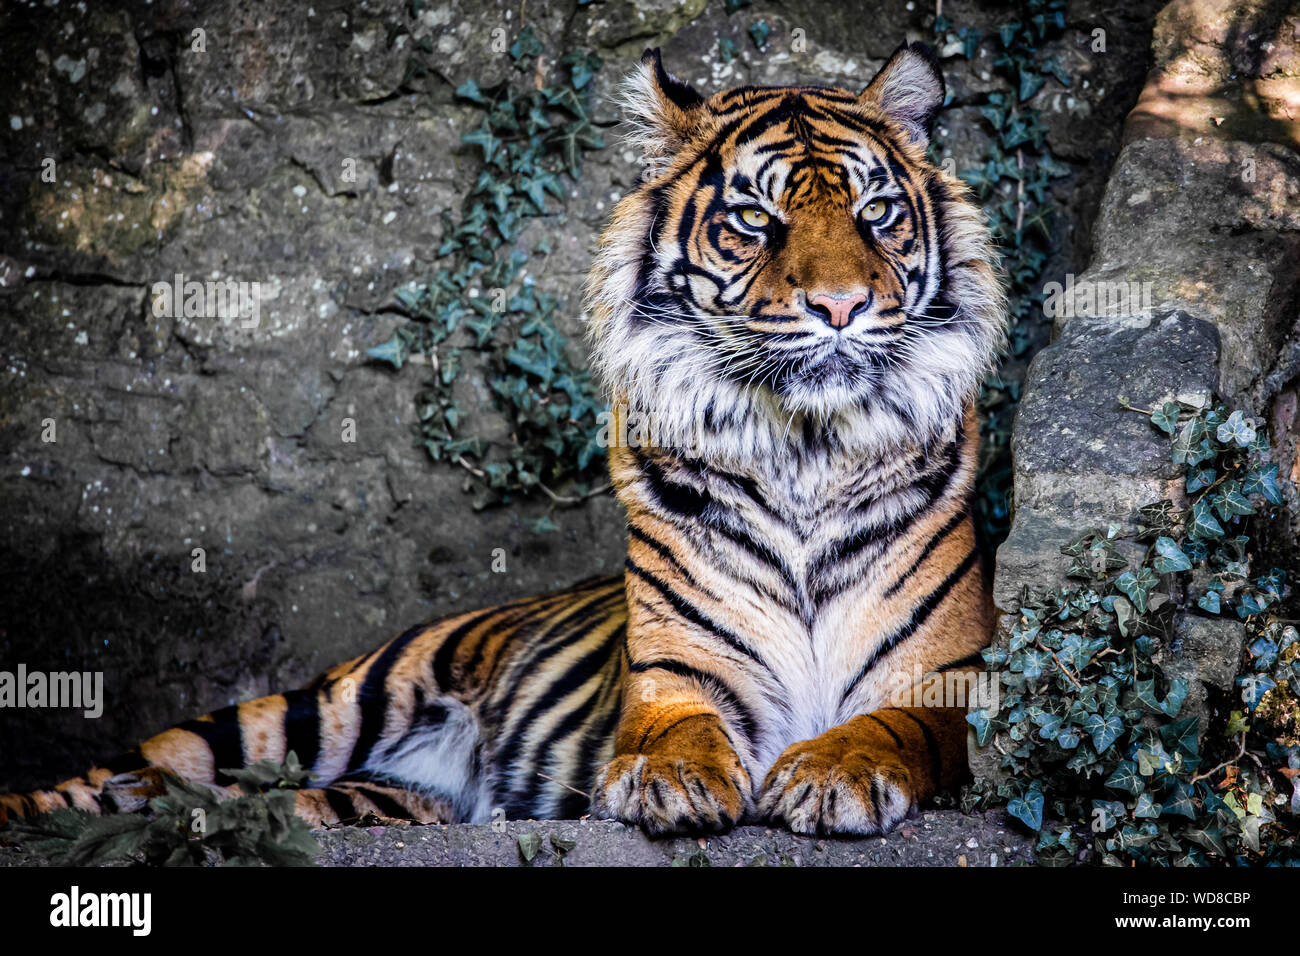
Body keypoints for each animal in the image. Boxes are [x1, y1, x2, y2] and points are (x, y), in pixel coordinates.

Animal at [0, 41, 1005, 839]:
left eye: (876, 213)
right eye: (756, 219)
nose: (841, 306)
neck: (805, 448)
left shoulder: (944, 684)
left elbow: (888, 728)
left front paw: (832, 774)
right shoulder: (677, 675)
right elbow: (675, 729)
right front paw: (671, 779)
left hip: (370, 796)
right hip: (307, 712)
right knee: (112, 774)